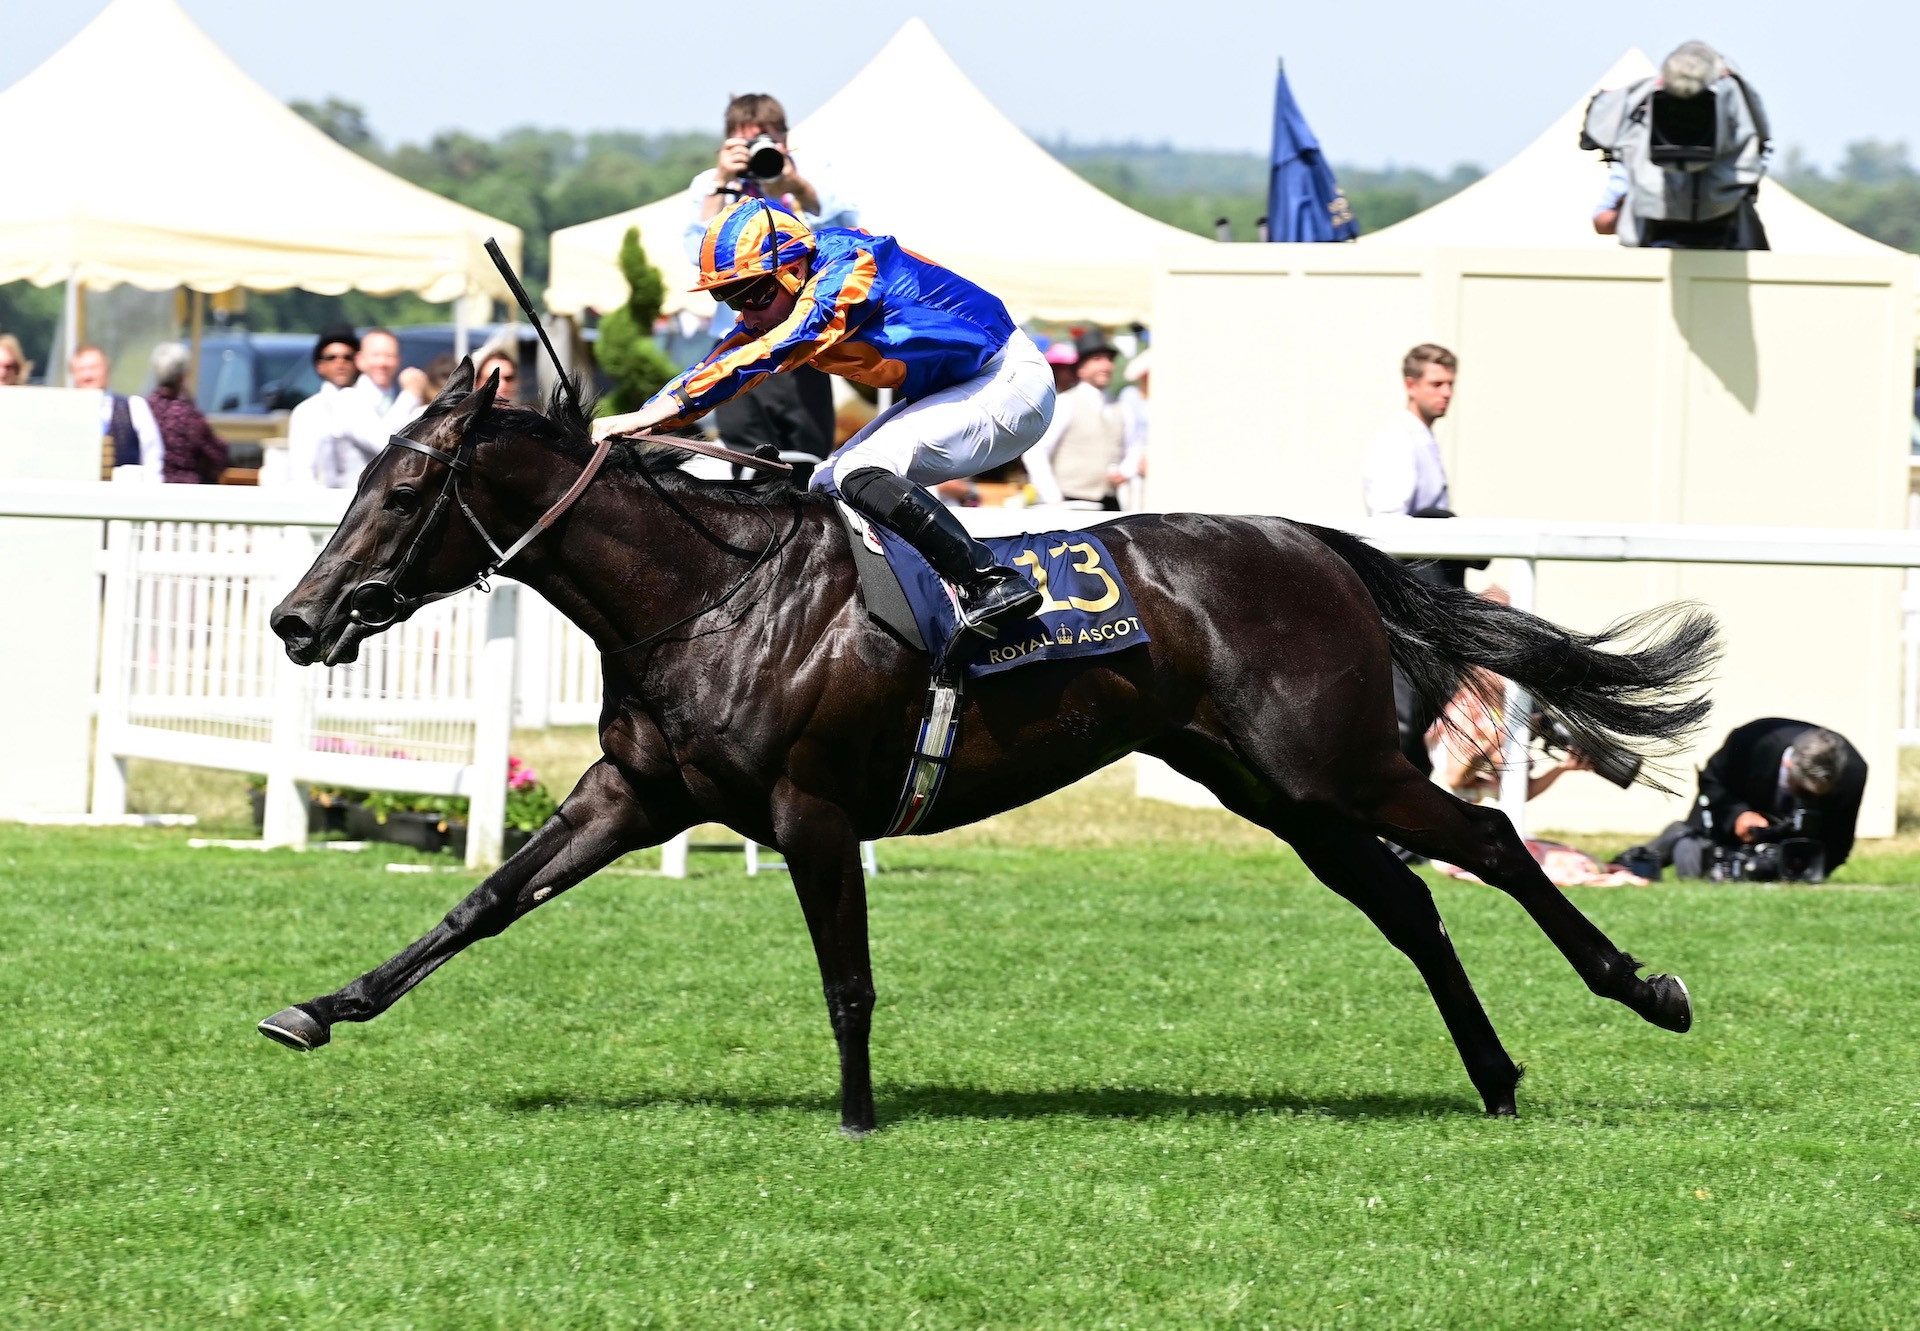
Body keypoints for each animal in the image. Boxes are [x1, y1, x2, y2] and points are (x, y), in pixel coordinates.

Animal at [263, 363, 1720, 1129]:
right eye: (361, 472)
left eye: (404, 485)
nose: (296, 615)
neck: (708, 594)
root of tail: (1320, 544)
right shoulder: (635, 789)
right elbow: (485, 900)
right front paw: (319, 1004)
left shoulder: (811, 810)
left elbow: (846, 975)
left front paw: (857, 1113)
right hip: (1275, 788)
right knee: (1409, 901)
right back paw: (1495, 1074)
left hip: (1335, 763)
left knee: (1488, 838)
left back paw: (1646, 988)